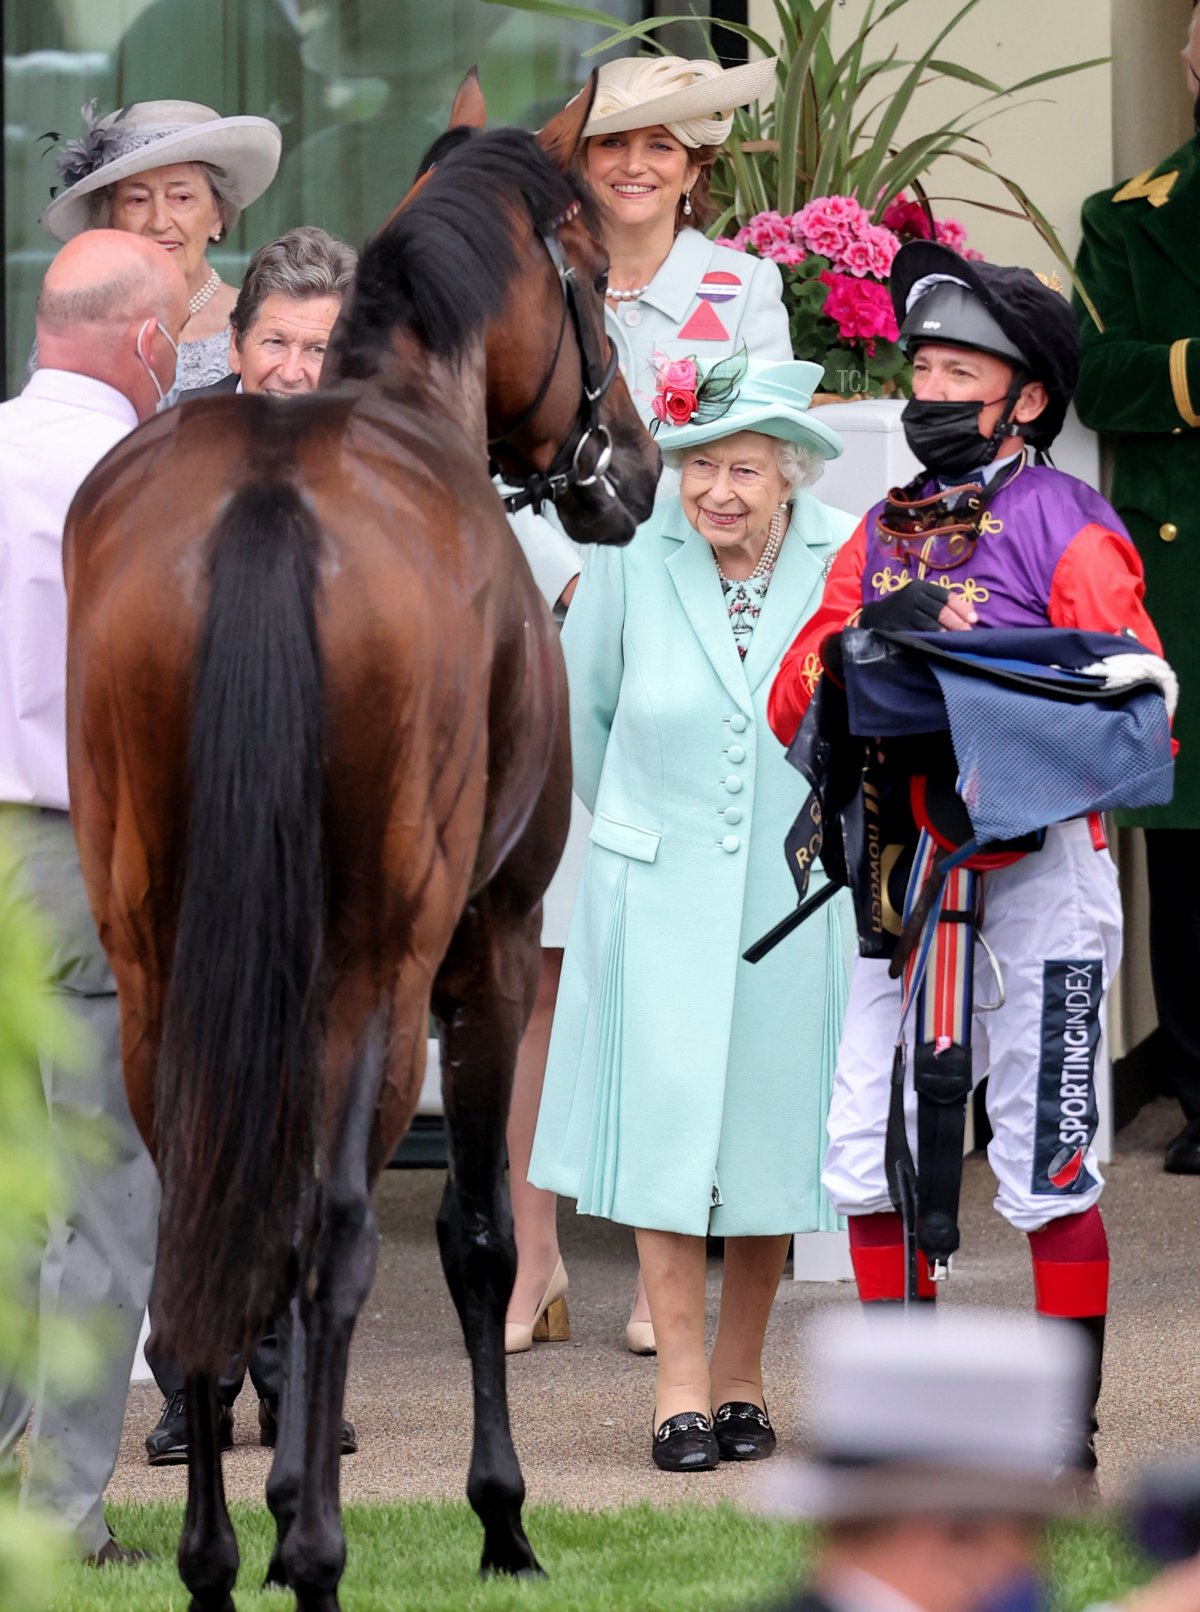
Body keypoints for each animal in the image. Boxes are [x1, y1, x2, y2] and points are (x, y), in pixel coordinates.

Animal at [63, 75, 654, 1612]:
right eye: (596, 278)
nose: (629, 464)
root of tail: (272, 501)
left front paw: (272, 1506)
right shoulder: (488, 947)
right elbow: (476, 1234)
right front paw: (496, 1517)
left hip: (161, 972)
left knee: (204, 1213)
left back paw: (216, 1556)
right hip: (379, 978)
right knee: (332, 1230)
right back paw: (317, 1553)